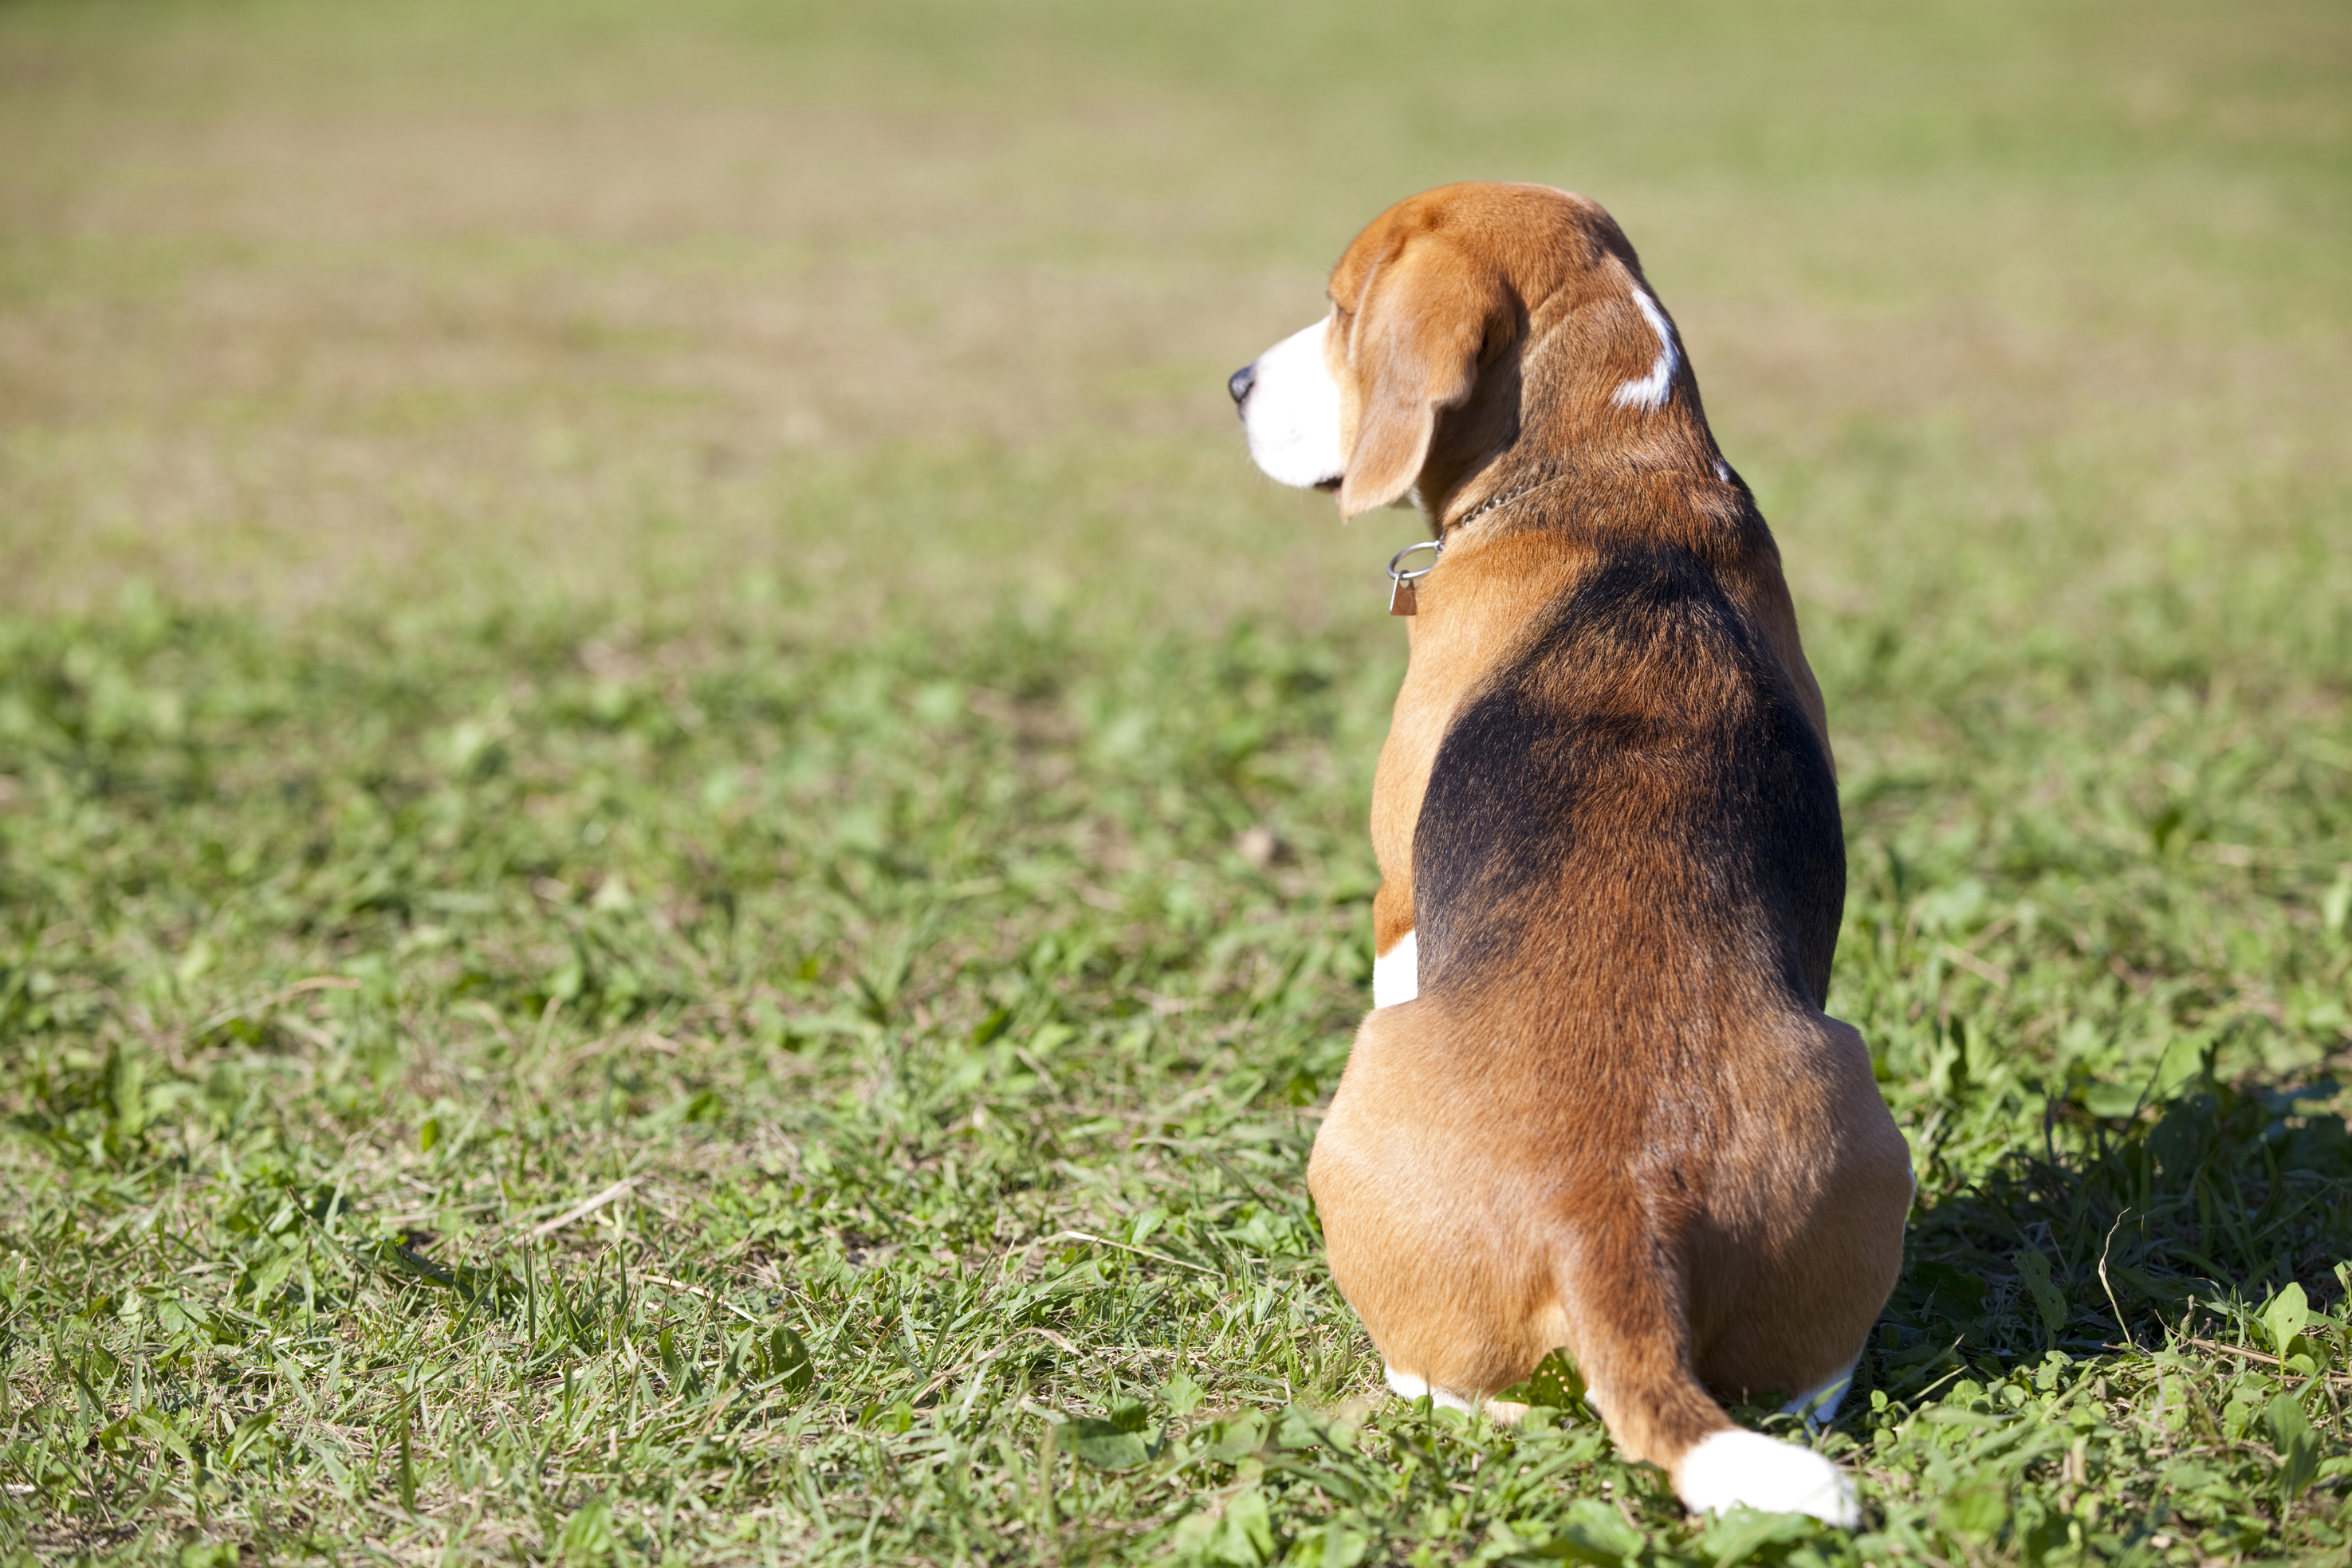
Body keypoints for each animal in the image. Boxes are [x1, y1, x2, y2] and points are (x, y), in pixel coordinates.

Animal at [1232, 181, 1910, 1523]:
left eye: (1341, 311)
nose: (1233, 382)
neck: (1615, 461)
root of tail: (1613, 1223)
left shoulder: (1397, 894)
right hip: (1861, 1111)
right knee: (1811, 1382)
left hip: (1363, 1092)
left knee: (1452, 1383)